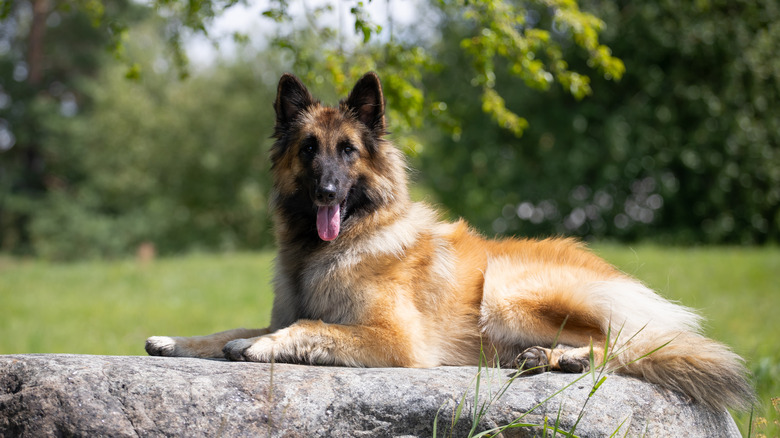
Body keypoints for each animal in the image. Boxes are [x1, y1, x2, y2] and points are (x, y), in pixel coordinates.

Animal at [143, 71, 752, 410]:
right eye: (309, 150)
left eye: (348, 152)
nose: (325, 192)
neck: (336, 246)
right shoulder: (284, 309)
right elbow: (232, 329)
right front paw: (177, 341)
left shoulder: (394, 339)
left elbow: (309, 328)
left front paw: (260, 348)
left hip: (505, 291)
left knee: (620, 346)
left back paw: (560, 359)